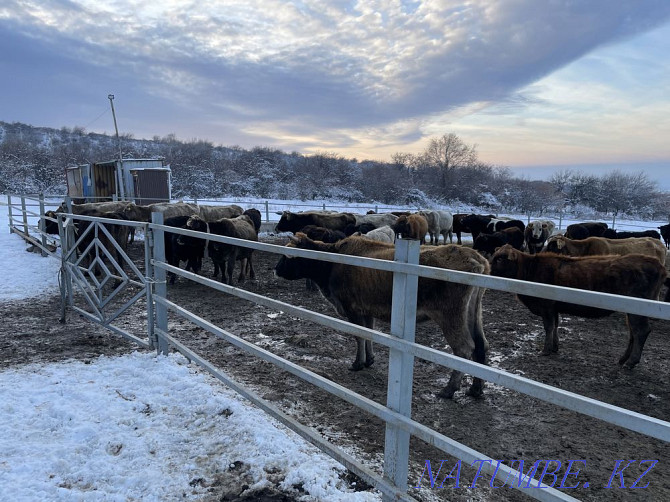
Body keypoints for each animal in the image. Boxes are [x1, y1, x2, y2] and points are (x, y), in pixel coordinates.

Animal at [276, 233, 490, 398]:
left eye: (287, 255)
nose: (276, 269)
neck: (331, 264)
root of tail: (477, 259)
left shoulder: (352, 309)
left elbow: (359, 336)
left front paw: (357, 363)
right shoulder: (366, 311)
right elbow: (368, 333)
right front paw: (369, 359)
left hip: (451, 316)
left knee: (464, 348)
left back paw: (449, 389)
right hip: (473, 312)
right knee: (481, 345)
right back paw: (476, 389)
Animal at [490, 245, 668, 366]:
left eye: (499, 259)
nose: (488, 271)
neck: (529, 269)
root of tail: (656, 263)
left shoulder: (546, 306)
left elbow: (549, 327)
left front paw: (546, 349)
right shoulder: (554, 308)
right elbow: (555, 325)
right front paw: (554, 347)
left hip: (637, 311)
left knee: (641, 331)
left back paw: (631, 362)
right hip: (630, 311)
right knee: (633, 332)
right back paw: (623, 359)